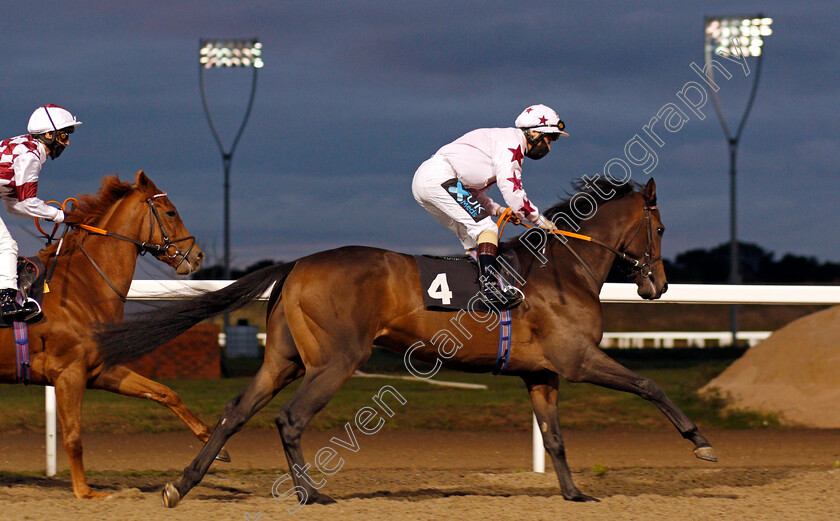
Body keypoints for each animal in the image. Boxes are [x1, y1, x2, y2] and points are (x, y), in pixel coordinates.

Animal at [1, 171, 217, 496]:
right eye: (170, 212)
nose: (198, 255)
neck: (84, 285)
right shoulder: (68, 372)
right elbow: (73, 437)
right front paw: (86, 492)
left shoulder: (100, 369)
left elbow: (165, 392)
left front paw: (215, 445)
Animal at [97, 177, 716, 506]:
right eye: (661, 229)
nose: (658, 285)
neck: (563, 269)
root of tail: (297, 263)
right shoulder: (579, 360)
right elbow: (650, 385)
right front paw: (701, 443)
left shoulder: (541, 373)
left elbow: (556, 437)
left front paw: (575, 495)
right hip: (336, 360)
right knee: (290, 419)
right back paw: (311, 494)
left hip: (284, 360)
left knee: (236, 411)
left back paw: (181, 485)